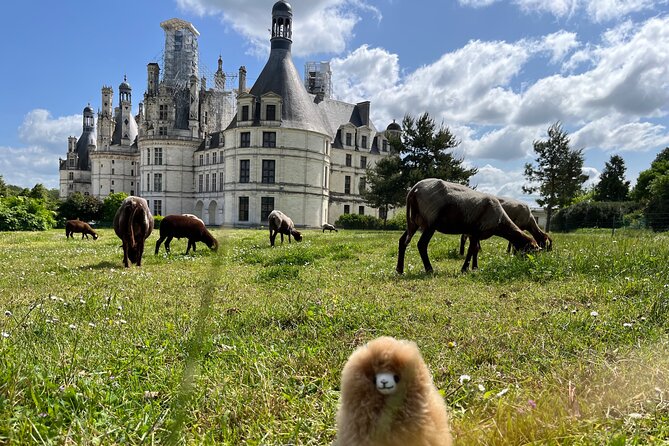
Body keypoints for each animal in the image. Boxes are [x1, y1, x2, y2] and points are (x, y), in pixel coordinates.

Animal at [394, 179, 540, 274]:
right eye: (531, 251)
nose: (531, 264)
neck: (500, 222)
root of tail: (414, 190)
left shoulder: (473, 233)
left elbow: (475, 250)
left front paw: (474, 268)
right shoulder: (476, 231)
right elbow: (471, 250)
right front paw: (465, 269)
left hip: (414, 221)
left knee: (402, 241)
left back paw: (400, 269)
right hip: (431, 222)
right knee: (422, 245)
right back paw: (429, 269)